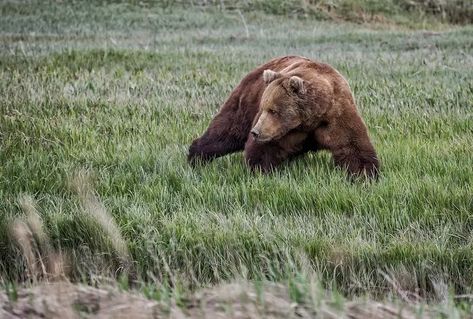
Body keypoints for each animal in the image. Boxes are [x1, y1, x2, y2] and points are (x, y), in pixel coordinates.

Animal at [186, 56, 378, 179]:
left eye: (273, 110)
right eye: (264, 107)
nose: (255, 132)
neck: (308, 120)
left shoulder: (336, 115)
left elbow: (352, 146)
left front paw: (365, 175)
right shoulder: (279, 131)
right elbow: (263, 150)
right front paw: (259, 170)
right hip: (247, 101)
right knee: (227, 131)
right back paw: (196, 156)